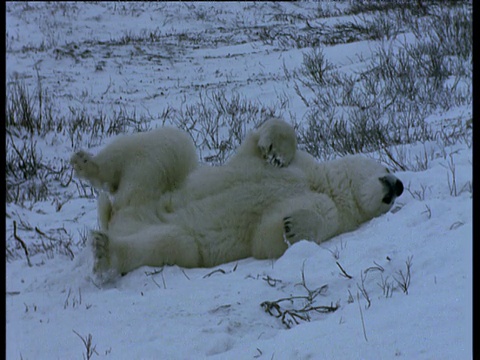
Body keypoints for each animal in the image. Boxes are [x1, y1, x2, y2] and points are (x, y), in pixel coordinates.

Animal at [70, 119, 402, 280]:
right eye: (386, 167)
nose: (398, 186)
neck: (320, 182)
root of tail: (117, 217)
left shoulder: (334, 214)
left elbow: (267, 236)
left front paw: (293, 226)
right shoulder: (298, 163)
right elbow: (259, 144)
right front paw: (274, 147)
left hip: (157, 225)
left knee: (171, 244)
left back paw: (105, 251)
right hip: (149, 188)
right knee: (169, 145)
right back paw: (86, 163)